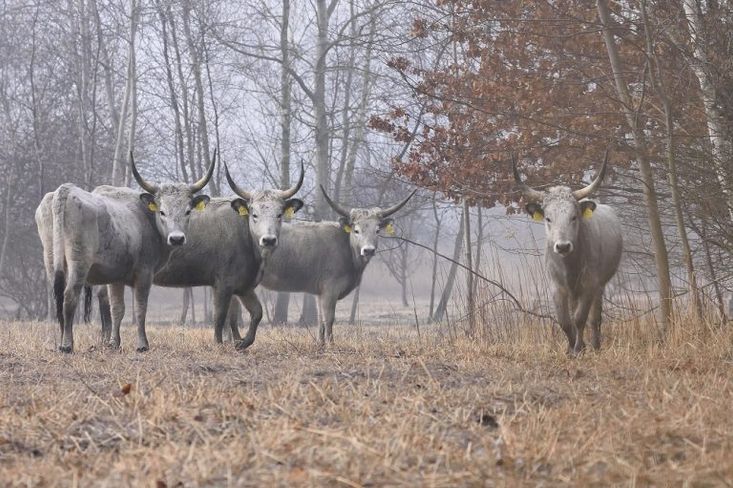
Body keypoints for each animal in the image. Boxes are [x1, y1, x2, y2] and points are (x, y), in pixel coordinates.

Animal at [37, 152, 214, 350]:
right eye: (162, 211)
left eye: (188, 211)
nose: (177, 238)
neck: (145, 218)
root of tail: (65, 191)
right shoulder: (144, 274)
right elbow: (140, 308)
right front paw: (142, 344)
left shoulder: (115, 278)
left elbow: (117, 309)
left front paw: (114, 343)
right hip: (79, 263)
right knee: (69, 296)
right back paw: (67, 344)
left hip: (52, 260)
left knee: (58, 297)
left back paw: (62, 341)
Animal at [234, 185, 414, 346]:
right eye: (356, 230)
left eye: (377, 230)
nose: (368, 250)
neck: (347, 249)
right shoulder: (330, 290)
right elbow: (329, 318)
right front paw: (331, 345)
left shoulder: (320, 292)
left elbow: (320, 319)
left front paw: (320, 344)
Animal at [512, 153, 620, 354]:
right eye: (548, 218)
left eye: (574, 216)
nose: (562, 246)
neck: (570, 267)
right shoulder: (557, 287)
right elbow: (565, 321)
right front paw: (571, 349)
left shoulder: (589, 285)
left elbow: (580, 319)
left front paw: (579, 348)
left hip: (599, 286)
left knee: (595, 319)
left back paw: (595, 345)